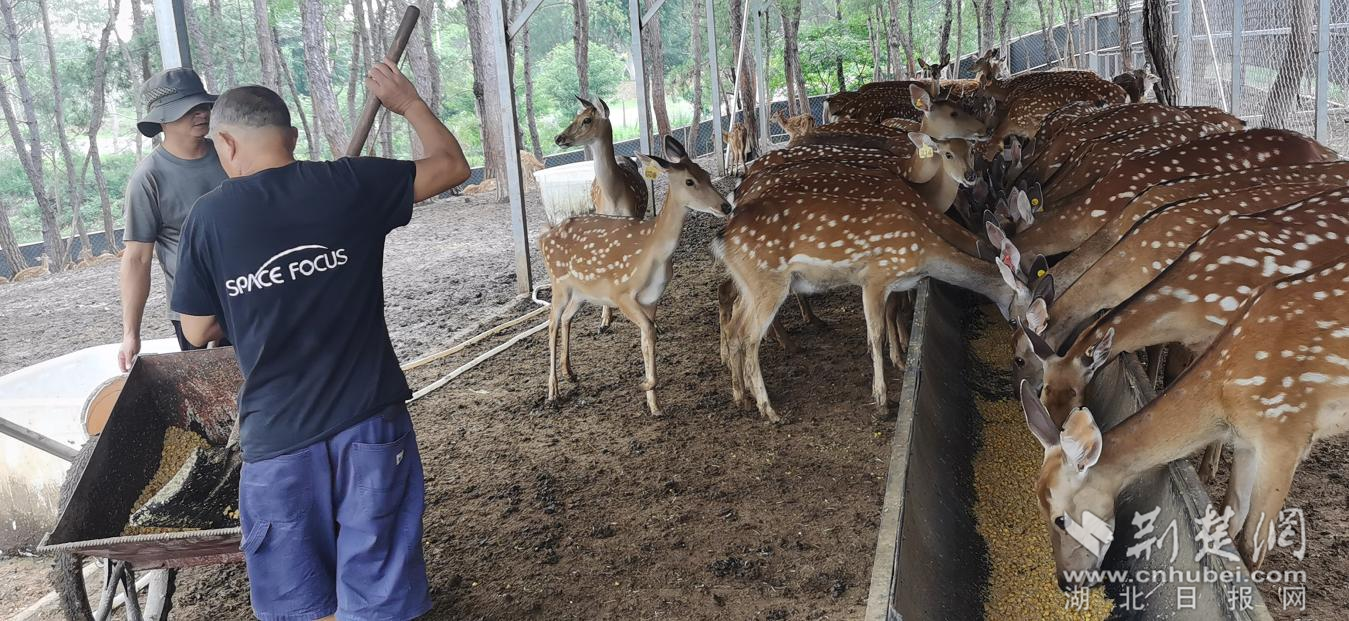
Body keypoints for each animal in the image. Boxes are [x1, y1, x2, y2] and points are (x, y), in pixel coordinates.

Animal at [540, 136, 730, 417]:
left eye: (706, 174)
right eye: (689, 181)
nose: (725, 206)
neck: (653, 252)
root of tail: (544, 237)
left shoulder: (652, 298)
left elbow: (646, 339)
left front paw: (654, 405)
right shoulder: (621, 293)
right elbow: (649, 332)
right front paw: (646, 385)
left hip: (582, 292)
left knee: (566, 318)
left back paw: (570, 372)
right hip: (558, 283)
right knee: (551, 323)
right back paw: (553, 393)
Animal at [1020, 257, 1349, 580]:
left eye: (1060, 519)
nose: (1066, 582)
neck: (1225, 394)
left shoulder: (1285, 431)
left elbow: (1253, 543)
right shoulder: (1246, 441)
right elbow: (1231, 514)